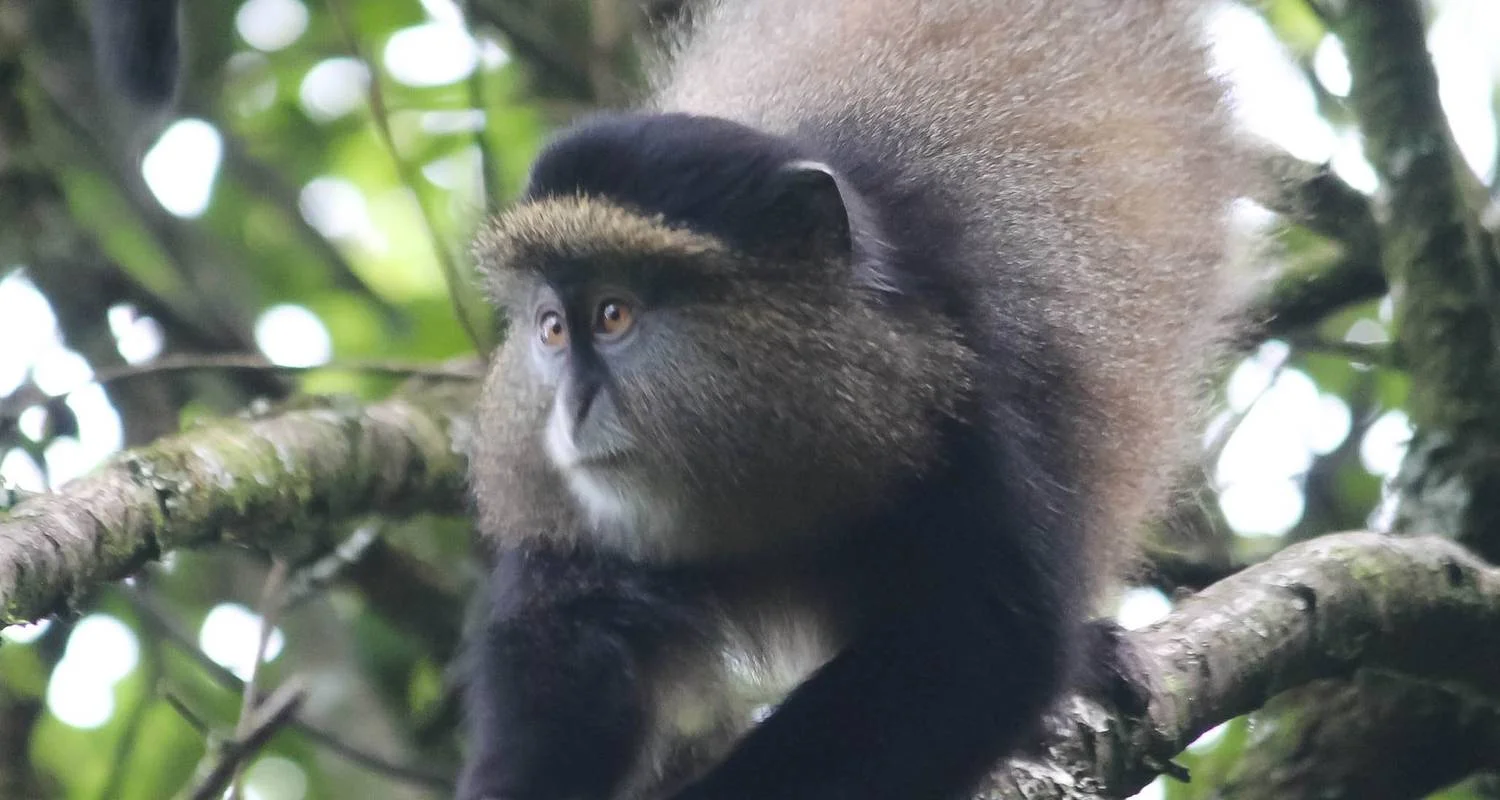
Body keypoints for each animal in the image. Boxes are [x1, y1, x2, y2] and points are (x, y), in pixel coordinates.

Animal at [461, 1, 1250, 799]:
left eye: (613, 316)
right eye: (552, 328)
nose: (570, 410)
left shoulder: (974, 414)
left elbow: (976, 654)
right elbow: (571, 623)